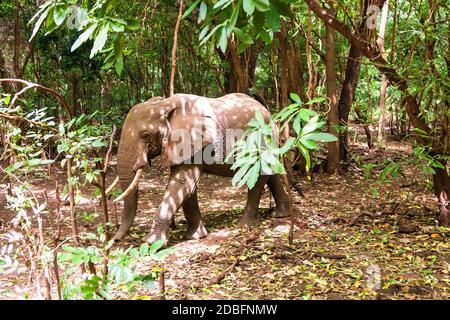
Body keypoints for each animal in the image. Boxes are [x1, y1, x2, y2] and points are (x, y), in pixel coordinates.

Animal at [110, 93, 292, 245]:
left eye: (146, 135)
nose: (115, 240)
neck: (165, 104)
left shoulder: (194, 140)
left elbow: (182, 182)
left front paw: (151, 243)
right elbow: (187, 186)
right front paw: (195, 237)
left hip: (263, 138)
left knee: (260, 175)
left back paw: (245, 225)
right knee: (270, 173)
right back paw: (281, 215)